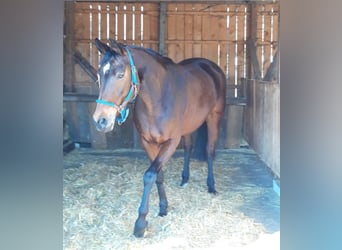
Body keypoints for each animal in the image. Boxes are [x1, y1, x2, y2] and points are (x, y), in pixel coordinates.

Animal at [92, 38, 226, 237]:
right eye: (99, 74)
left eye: (121, 74)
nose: (100, 120)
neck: (157, 99)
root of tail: (210, 66)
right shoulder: (148, 142)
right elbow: (158, 175)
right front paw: (163, 208)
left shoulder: (170, 143)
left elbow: (149, 175)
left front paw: (140, 223)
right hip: (189, 125)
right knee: (188, 147)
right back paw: (185, 179)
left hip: (213, 118)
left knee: (209, 150)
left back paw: (211, 186)